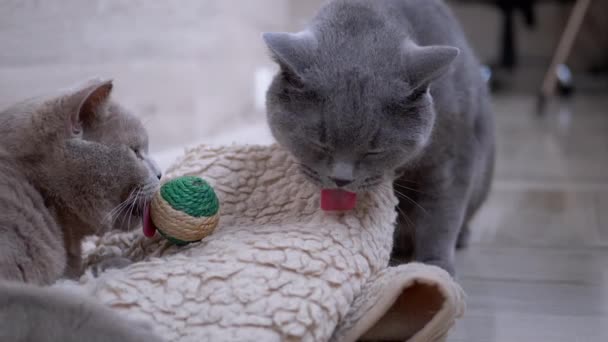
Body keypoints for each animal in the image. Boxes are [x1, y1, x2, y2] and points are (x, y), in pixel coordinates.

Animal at [262, 0, 494, 274]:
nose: (341, 179)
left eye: (374, 151)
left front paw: (436, 268)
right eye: (320, 144)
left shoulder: (453, 155)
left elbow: (441, 213)